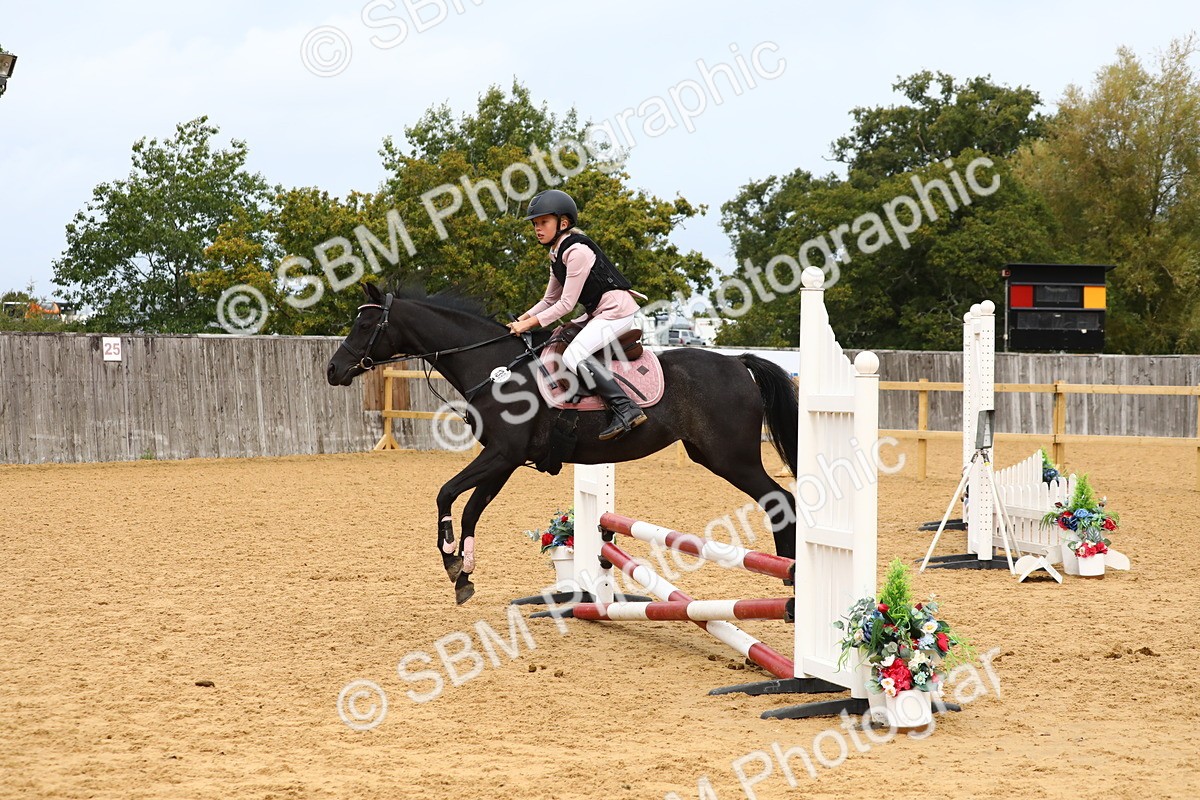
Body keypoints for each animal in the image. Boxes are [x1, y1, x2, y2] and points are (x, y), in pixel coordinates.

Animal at [327, 283, 799, 604]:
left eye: (365, 324)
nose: (333, 370)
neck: (495, 369)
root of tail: (738, 363)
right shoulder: (504, 461)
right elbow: (472, 509)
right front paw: (463, 572)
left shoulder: (501, 454)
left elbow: (446, 494)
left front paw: (449, 558)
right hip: (712, 455)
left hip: (732, 458)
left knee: (781, 499)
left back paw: (792, 578)